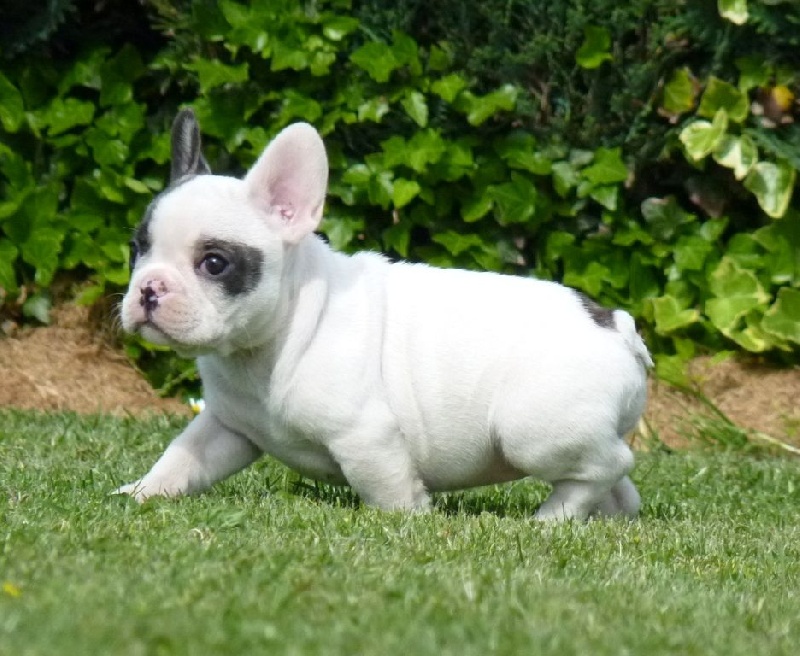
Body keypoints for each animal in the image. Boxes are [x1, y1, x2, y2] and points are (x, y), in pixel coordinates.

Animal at [117, 109, 652, 520]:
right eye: (137, 251)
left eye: (214, 263)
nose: (149, 289)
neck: (273, 337)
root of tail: (615, 325)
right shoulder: (227, 427)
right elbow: (182, 458)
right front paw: (141, 493)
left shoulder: (365, 437)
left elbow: (388, 488)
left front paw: (407, 523)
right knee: (612, 484)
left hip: (533, 431)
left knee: (609, 464)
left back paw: (549, 518)